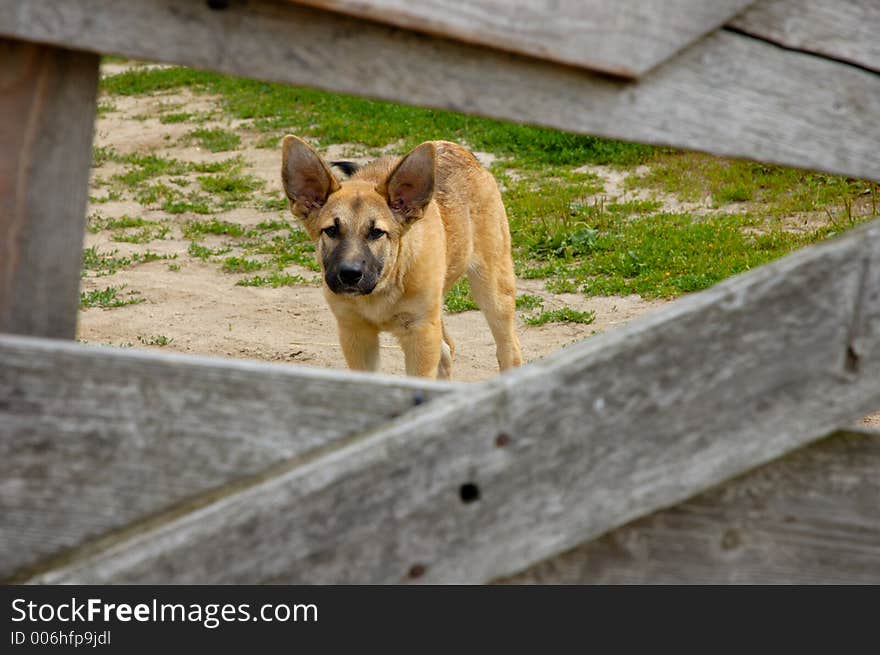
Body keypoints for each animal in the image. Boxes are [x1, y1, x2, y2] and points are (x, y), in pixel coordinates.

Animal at [282, 136, 520, 380]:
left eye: (376, 232)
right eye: (331, 230)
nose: (349, 274)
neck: (382, 288)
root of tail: (458, 149)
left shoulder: (420, 334)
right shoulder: (355, 333)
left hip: (493, 290)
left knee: (509, 349)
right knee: (447, 350)